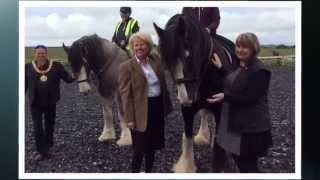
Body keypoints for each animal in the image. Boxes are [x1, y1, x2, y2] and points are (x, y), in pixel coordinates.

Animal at [154, 13, 234, 172]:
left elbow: (218, 146)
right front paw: (186, 166)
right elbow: (188, 137)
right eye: (167, 63)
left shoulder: (220, 107)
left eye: (188, 55)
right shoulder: (187, 110)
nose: (186, 98)